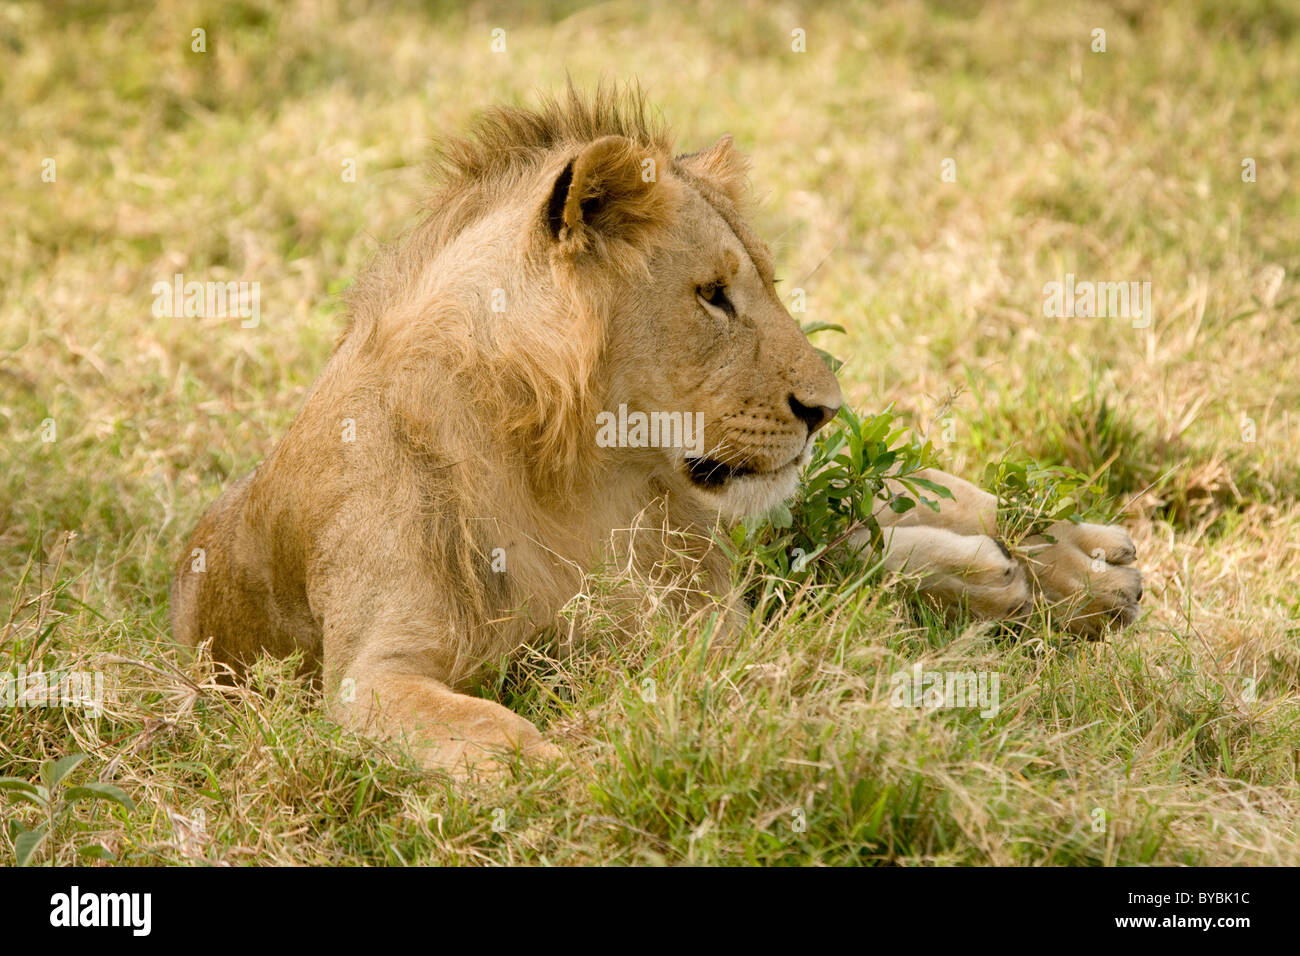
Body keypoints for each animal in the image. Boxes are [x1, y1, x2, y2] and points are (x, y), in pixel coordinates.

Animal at [171, 86, 1141, 777]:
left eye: (763, 284)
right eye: (712, 294)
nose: (826, 409)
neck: (567, 468)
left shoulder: (696, 613)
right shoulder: (373, 670)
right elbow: (499, 740)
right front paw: (574, 773)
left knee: (887, 518)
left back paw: (1081, 564)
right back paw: (1027, 578)